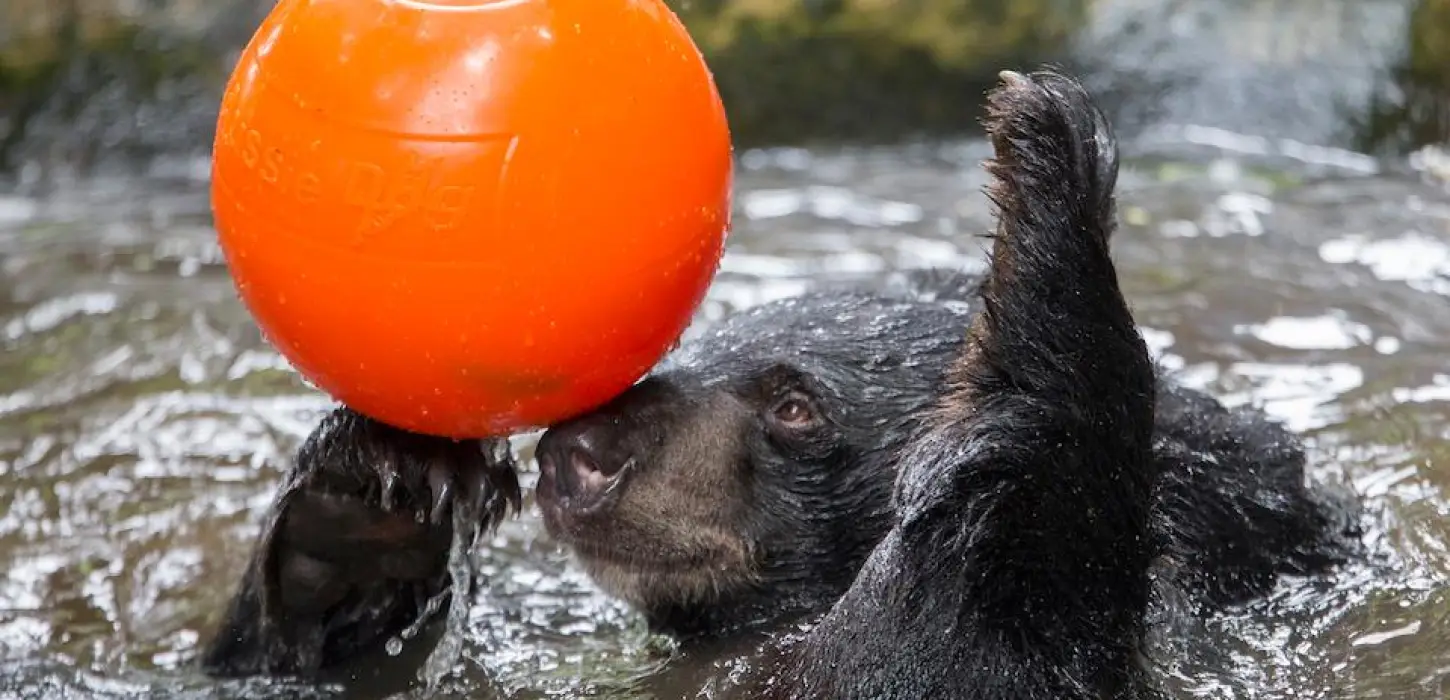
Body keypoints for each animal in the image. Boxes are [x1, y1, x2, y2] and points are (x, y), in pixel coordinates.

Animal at [199, 70, 1359, 698]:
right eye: (686, 348)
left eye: (797, 406)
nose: (579, 456)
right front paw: (371, 492)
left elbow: (930, 640)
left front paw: (1043, 159)